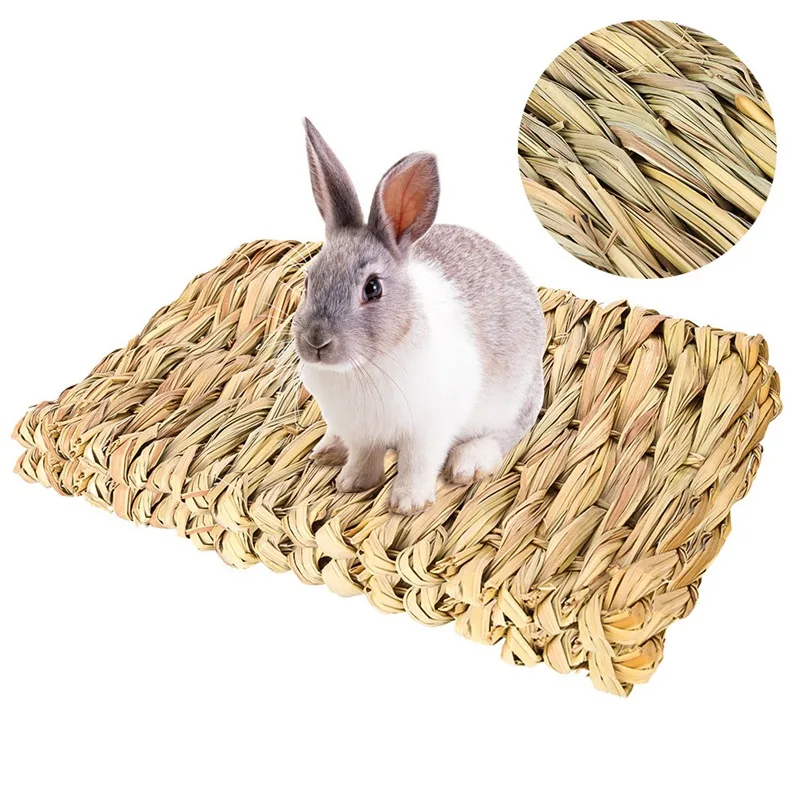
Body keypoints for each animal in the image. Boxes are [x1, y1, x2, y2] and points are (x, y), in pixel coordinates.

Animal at [292, 119, 546, 515]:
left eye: (373, 288)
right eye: (307, 281)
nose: (316, 342)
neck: (364, 368)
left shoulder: (428, 430)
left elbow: (417, 463)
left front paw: (408, 504)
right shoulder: (361, 431)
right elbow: (364, 456)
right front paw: (352, 483)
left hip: (514, 402)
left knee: (505, 435)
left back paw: (469, 464)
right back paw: (328, 450)